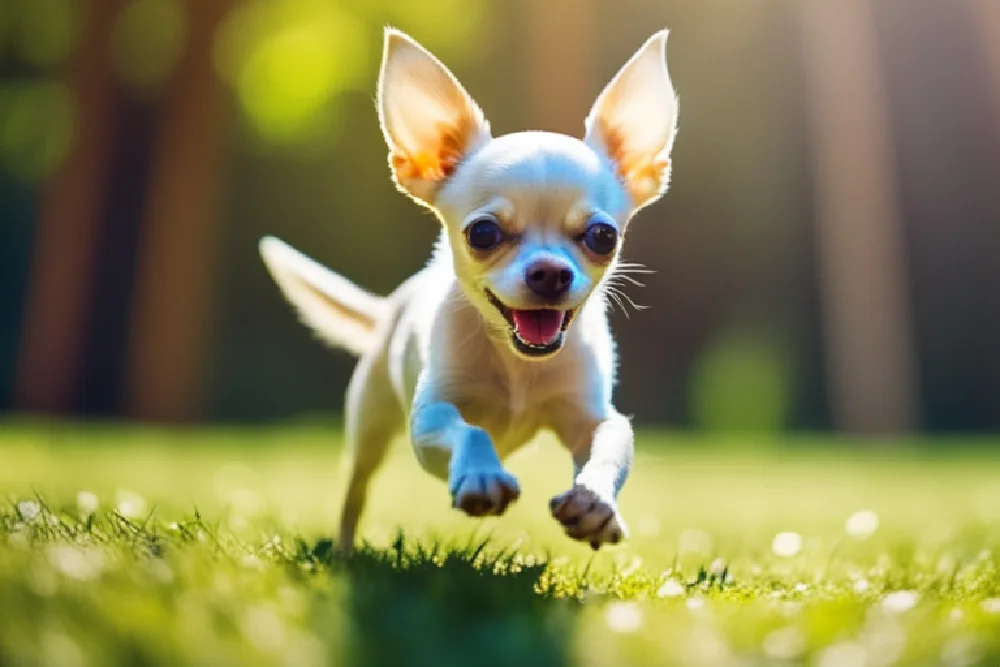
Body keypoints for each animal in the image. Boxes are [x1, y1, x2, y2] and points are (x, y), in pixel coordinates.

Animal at [258, 28, 680, 552]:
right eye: (483, 233)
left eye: (603, 236)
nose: (549, 272)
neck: (518, 364)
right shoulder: (428, 420)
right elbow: (470, 432)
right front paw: (481, 476)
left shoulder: (592, 417)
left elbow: (611, 444)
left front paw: (595, 503)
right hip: (369, 426)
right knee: (355, 492)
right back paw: (344, 551)